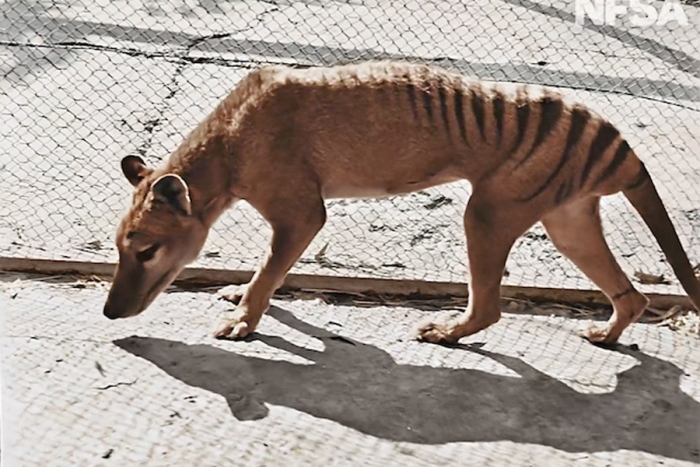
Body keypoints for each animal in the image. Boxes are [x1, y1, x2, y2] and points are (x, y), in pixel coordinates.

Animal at [102, 60, 700, 346]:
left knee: (489, 305)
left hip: (487, 214)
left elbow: (272, 272)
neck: (230, 140)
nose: (109, 310)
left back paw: (448, 333)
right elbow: (267, 272)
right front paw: (239, 295)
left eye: (146, 250)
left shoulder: (301, 214)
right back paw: (609, 334)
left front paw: (245, 320)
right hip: (567, 222)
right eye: (118, 248)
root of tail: (612, 137)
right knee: (632, 296)